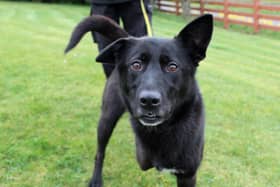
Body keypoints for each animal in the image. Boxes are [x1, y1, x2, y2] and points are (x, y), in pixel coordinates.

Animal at [65, 14, 213, 187]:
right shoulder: (143, 157)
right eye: (136, 65)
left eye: (172, 67)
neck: (164, 129)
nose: (149, 100)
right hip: (106, 119)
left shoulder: (188, 174)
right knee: (100, 152)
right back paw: (96, 179)